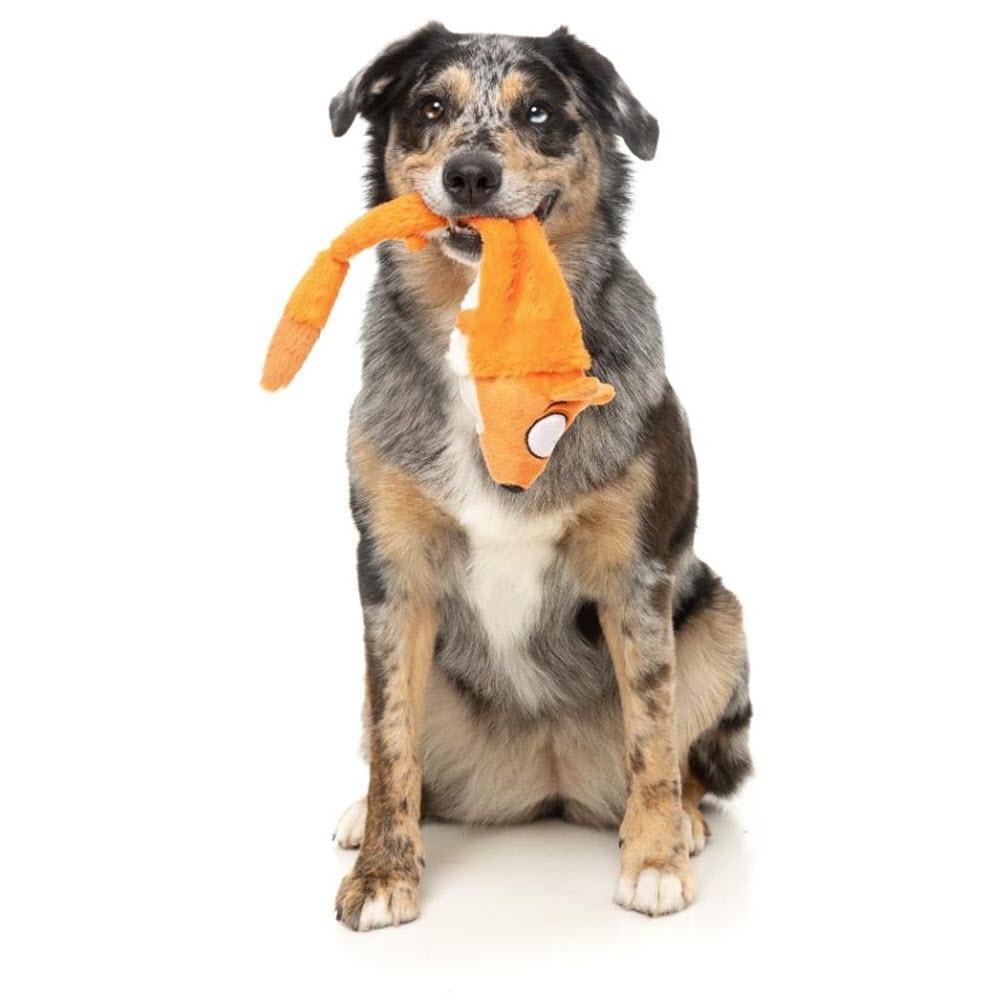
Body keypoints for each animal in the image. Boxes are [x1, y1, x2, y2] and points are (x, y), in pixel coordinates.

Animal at [326, 23, 752, 931]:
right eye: (430, 107)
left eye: (539, 111)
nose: (469, 174)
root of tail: (542, 782)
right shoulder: (390, 579)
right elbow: (392, 742)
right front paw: (383, 873)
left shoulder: (635, 576)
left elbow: (652, 728)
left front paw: (654, 860)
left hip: (720, 620)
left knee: (684, 757)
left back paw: (682, 821)